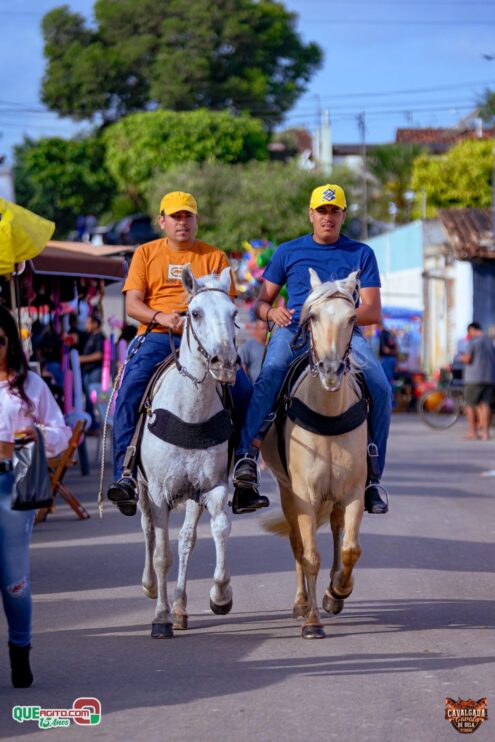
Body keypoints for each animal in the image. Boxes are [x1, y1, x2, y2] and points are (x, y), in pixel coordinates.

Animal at [139, 265, 239, 638]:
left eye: (234, 314)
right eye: (194, 313)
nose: (225, 363)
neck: (190, 412)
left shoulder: (212, 487)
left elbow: (218, 530)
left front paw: (220, 596)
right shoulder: (158, 493)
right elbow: (161, 554)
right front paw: (160, 617)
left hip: (192, 494)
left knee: (186, 541)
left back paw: (181, 608)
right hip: (142, 491)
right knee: (149, 533)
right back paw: (151, 588)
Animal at [262, 269, 368, 639]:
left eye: (352, 318)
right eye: (312, 318)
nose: (331, 371)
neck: (329, 414)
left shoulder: (353, 492)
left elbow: (350, 548)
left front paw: (338, 591)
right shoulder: (304, 495)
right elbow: (309, 555)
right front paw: (311, 621)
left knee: (337, 532)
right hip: (286, 491)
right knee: (297, 543)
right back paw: (301, 603)